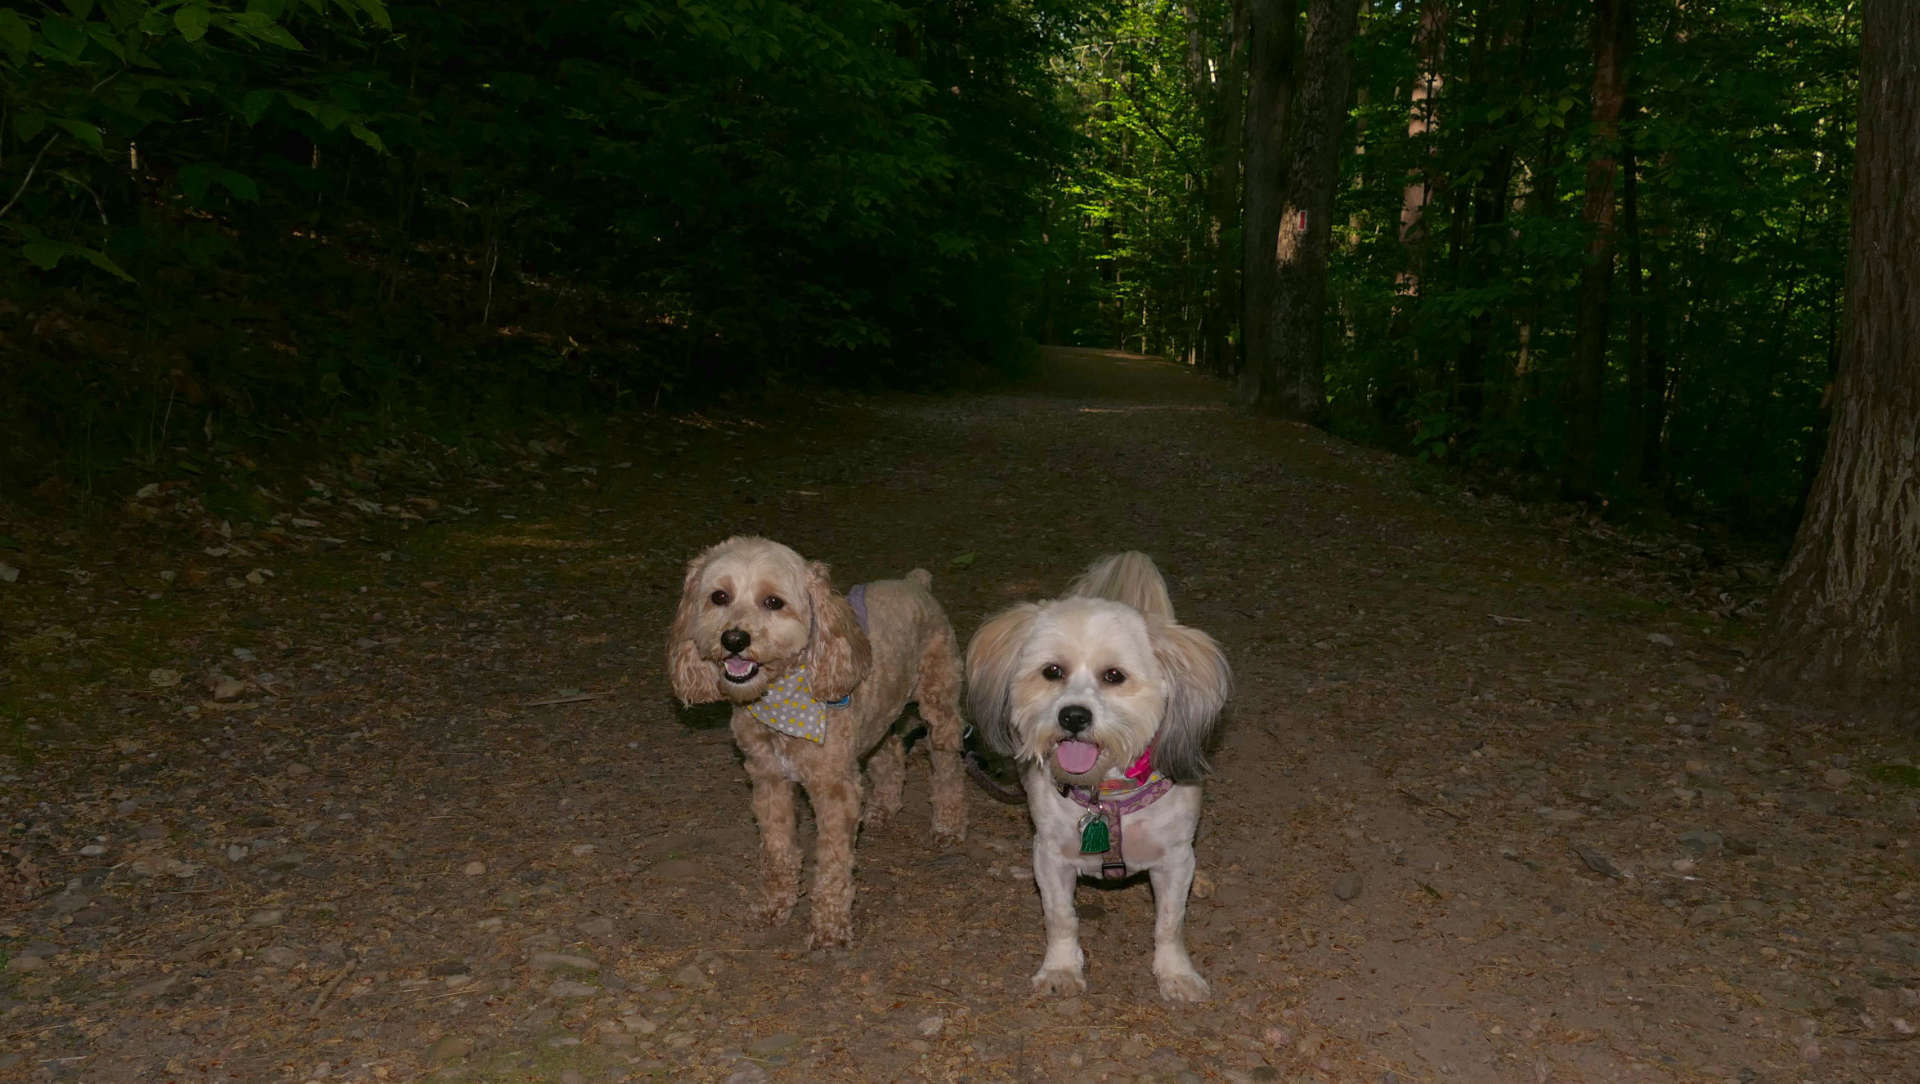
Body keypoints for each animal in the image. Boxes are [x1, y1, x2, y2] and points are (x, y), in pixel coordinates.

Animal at [672, 537, 967, 943]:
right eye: (719, 596)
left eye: (773, 602)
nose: (733, 639)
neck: (780, 700)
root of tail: (915, 583)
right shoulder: (769, 781)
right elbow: (778, 850)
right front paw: (775, 906)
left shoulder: (833, 789)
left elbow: (832, 862)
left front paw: (829, 926)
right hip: (876, 718)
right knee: (890, 750)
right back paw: (883, 808)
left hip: (939, 706)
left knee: (948, 765)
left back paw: (948, 825)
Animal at [975, 552, 1228, 1005]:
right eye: (1052, 671)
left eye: (1114, 676)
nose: (1073, 716)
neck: (1108, 796)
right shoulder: (1051, 857)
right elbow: (1061, 918)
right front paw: (1060, 969)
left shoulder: (1175, 859)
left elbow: (1170, 924)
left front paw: (1175, 973)